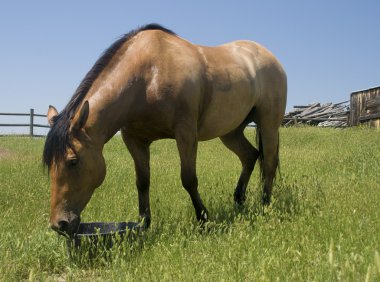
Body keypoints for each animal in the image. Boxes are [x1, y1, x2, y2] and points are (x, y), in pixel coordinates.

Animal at [43, 23, 286, 236]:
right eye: (49, 165)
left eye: (73, 161)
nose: (59, 224)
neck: (149, 75)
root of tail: (269, 57)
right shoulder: (134, 140)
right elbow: (142, 182)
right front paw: (144, 224)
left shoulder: (185, 133)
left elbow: (189, 179)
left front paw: (204, 219)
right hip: (231, 131)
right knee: (250, 156)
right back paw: (239, 201)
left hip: (268, 123)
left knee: (269, 163)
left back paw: (265, 205)